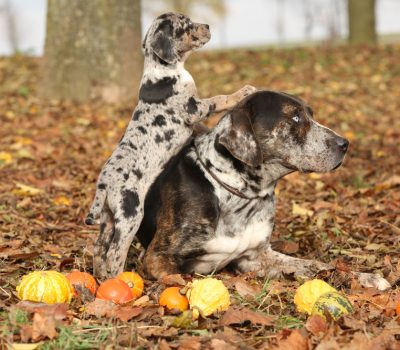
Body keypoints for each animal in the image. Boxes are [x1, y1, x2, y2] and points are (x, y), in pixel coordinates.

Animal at [86, 12, 255, 278]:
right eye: (186, 25)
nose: (207, 26)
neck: (162, 70)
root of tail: (104, 183)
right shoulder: (194, 108)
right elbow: (219, 99)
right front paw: (243, 92)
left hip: (108, 217)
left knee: (99, 246)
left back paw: (100, 277)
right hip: (130, 214)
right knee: (114, 252)